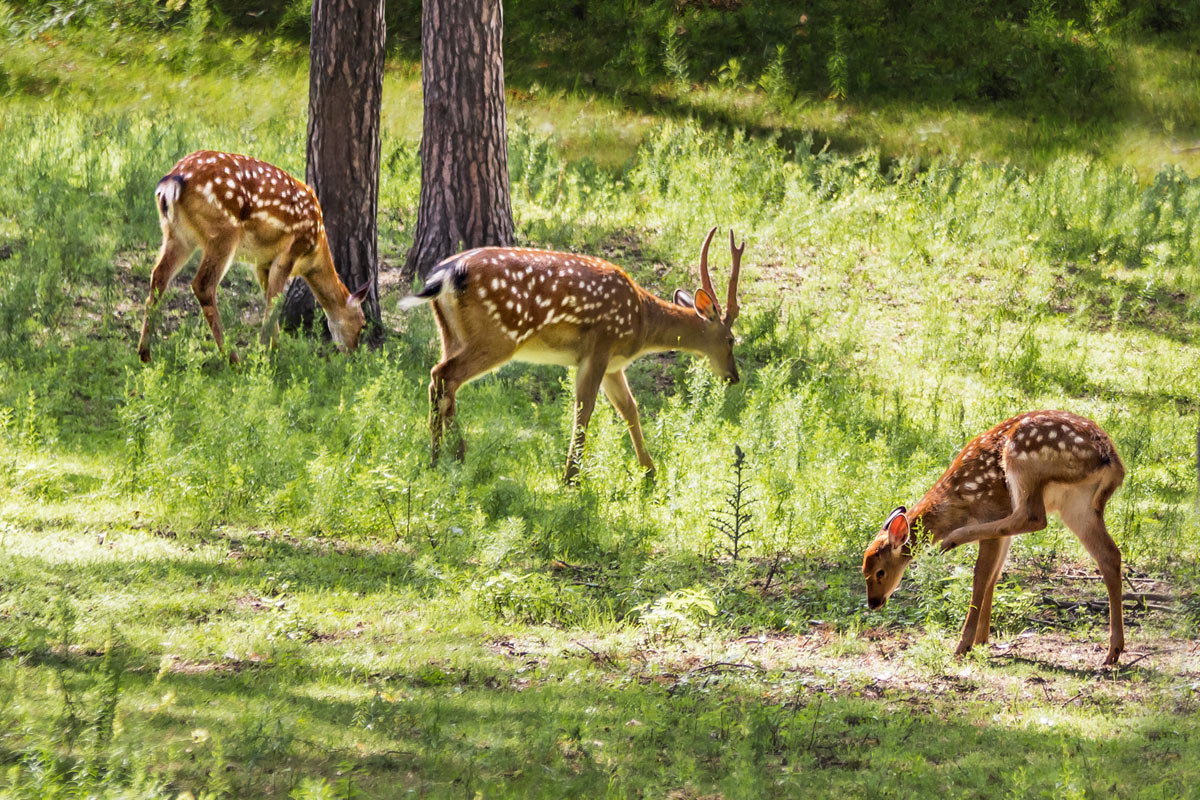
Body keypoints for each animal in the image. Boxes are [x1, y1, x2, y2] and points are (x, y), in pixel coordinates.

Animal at [135, 149, 364, 362]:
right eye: (362, 322)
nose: (353, 352)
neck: (314, 252)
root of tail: (172, 180)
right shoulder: (291, 251)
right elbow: (275, 301)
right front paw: (267, 353)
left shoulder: (262, 263)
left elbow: (269, 298)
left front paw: (273, 347)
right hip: (223, 231)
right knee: (203, 284)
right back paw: (232, 358)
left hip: (177, 234)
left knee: (159, 276)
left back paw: (145, 353)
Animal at [398, 227, 744, 484]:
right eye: (731, 339)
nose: (734, 378)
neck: (641, 325)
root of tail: (443, 276)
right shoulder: (599, 348)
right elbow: (584, 409)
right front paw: (571, 478)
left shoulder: (613, 365)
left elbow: (629, 409)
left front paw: (649, 472)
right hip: (499, 336)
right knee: (444, 375)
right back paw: (449, 457)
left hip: (451, 333)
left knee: (441, 381)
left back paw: (445, 458)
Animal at [864, 410, 1123, 666]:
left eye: (880, 572)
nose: (873, 602)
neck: (955, 503)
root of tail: (1112, 460)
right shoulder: (1003, 536)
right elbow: (994, 576)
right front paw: (981, 640)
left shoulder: (990, 510)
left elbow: (980, 576)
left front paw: (963, 646)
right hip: (1078, 504)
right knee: (1109, 554)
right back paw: (1113, 651)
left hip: (1022, 463)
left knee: (1033, 517)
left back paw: (953, 539)